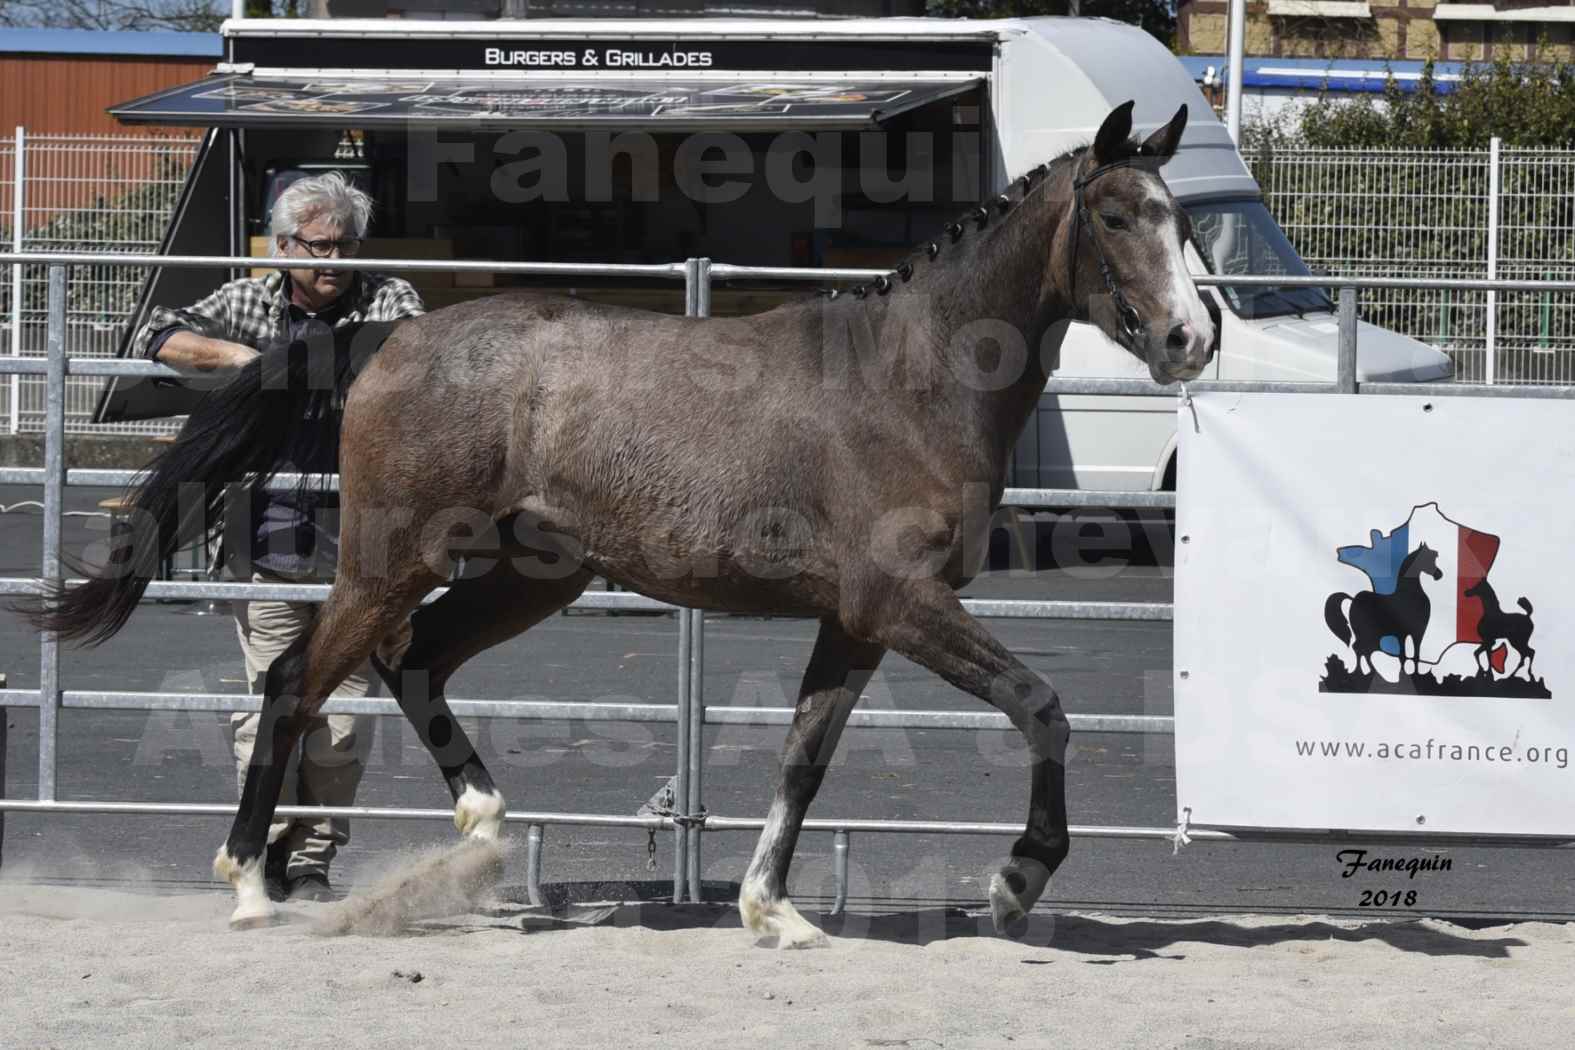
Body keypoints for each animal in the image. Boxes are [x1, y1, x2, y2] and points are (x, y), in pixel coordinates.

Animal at [30, 102, 1222, 938]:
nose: (1189, 339)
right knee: (296, 681)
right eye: (1116, 215)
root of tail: (379, 338)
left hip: (529, 572)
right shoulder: (902, 602)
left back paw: (484, 829)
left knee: (413, 661)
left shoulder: (857, 618)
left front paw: (773, 912)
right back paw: (248, 886)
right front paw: (1016, 881)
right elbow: (1041, 705)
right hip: (391, 557)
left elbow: (805, 758)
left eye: (1185, 220)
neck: (909, 377)